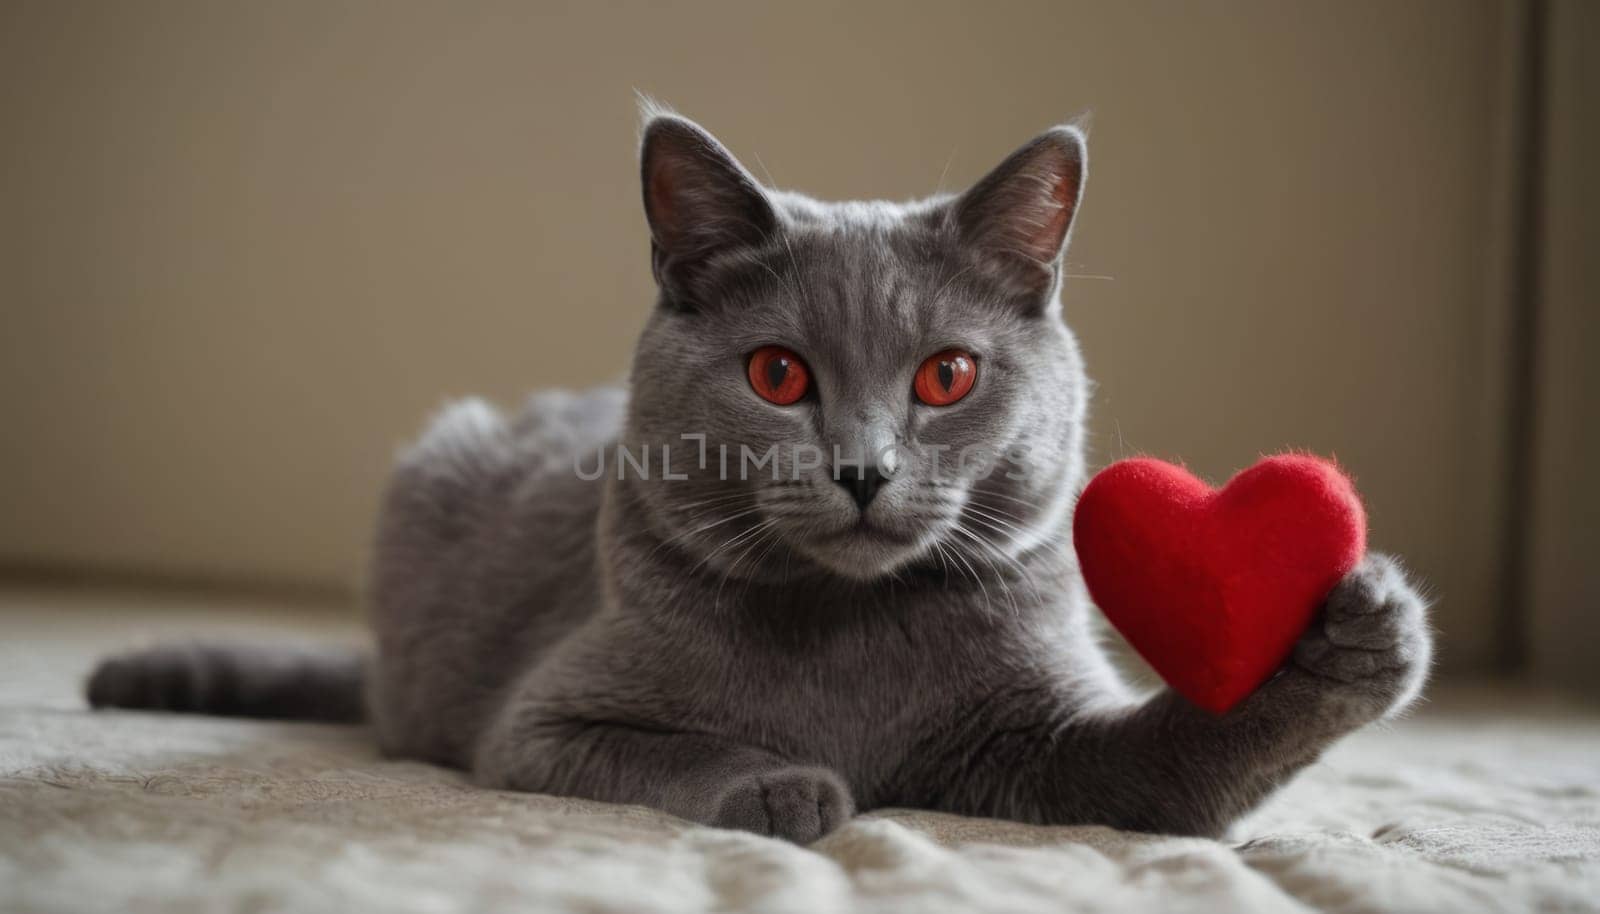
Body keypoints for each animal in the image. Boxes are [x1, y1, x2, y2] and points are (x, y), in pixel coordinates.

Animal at [90, 112, 1440, 845]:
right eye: (778, 373)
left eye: (947, 374)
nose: (862, 467)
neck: (845, 634)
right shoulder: (542, 717)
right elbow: (657, 749)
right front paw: (787, 783)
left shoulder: (1039, 745)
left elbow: (1171, 768)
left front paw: (1349, 635)